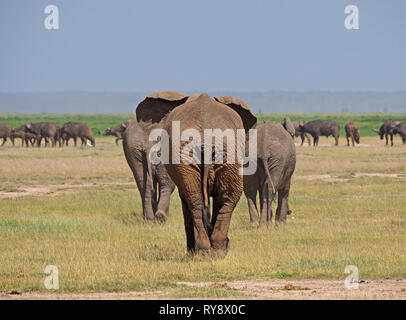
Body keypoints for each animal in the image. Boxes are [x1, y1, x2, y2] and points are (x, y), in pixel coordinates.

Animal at [137, 92, 256, 255]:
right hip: (214, 155)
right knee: (215, 198)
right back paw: (213, 251)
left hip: (218, 154)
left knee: (204, 198)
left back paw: (208, 251)